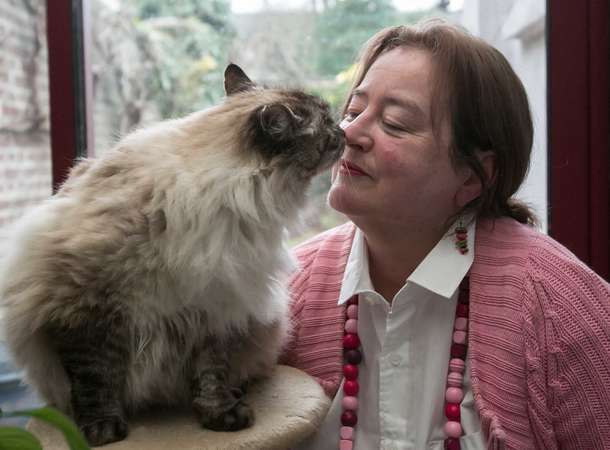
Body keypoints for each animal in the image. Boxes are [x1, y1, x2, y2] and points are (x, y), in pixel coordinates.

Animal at [0, 64, 342, 446]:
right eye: (327, 127)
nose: (344, 131)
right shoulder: (85, 306)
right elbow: (96, 377)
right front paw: (102, 430)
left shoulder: (220, 308)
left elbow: (211, 377)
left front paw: (220, 415)